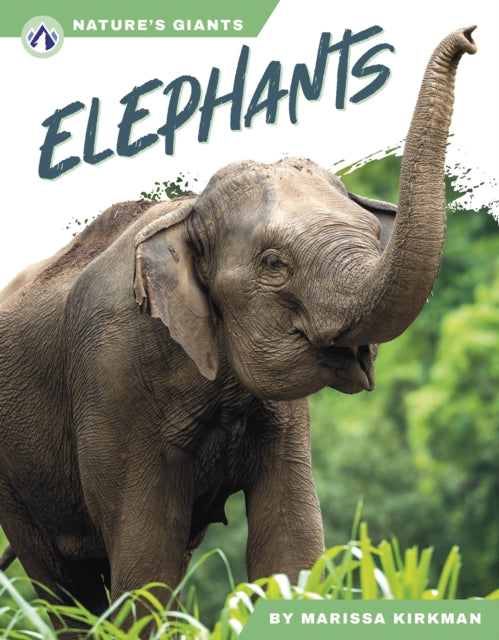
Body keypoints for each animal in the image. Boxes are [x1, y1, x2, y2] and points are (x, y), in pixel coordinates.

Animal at [0, 27, 476, 635]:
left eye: (374, 234)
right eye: (273, 264)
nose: (469, 36)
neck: (186, 212)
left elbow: (290, 545)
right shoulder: (113, 379)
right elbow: (145, 565)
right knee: (64, 584)